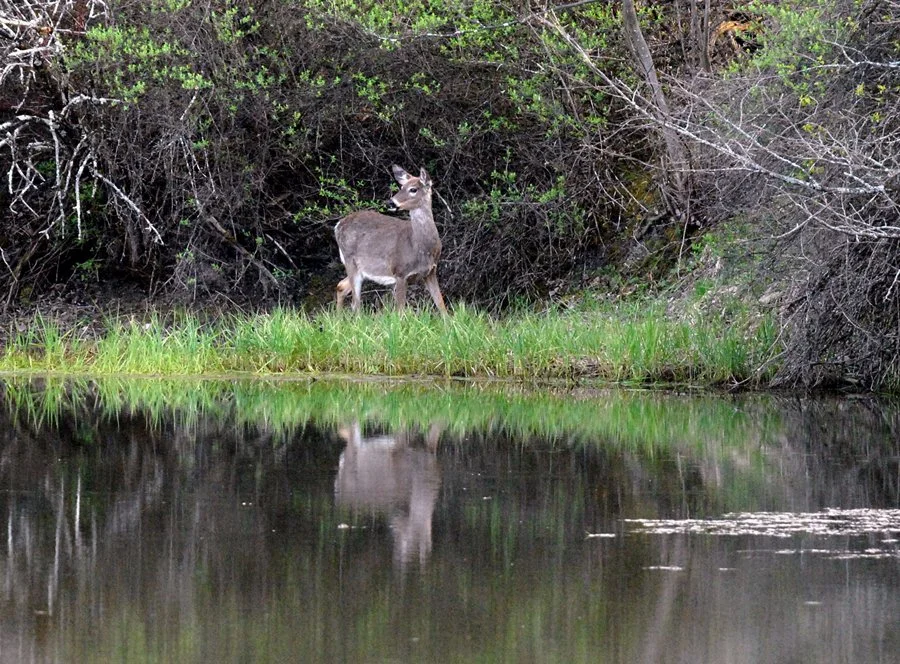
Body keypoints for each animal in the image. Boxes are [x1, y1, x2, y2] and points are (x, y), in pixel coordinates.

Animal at [334, 165, 447, 314]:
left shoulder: (430, 272)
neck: (421, 247)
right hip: (350, 262)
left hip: (360, 269)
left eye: (413, 189)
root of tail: (337, 225)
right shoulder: (399, 273)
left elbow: (441, 305)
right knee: (355, 304)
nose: (390, 203)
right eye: (401, 187)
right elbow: (400, 312)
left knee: (341, 286)